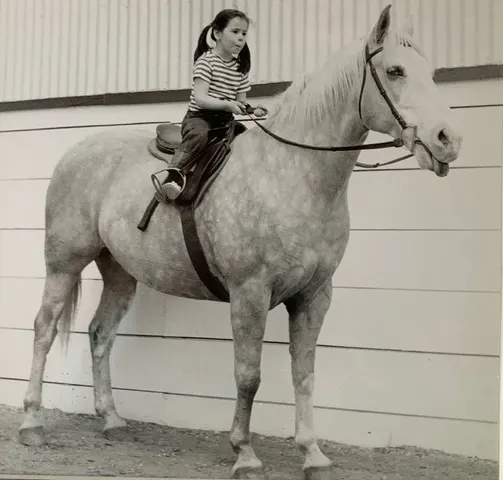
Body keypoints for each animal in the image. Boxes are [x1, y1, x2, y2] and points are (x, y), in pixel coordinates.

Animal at [17, 4, 462, 480]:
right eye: (395, 70)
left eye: (430, 72)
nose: (448, 140)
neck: (291, 173)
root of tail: (76, 152)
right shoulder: (250, 292)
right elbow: (249, 375)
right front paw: (245, 454)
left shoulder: (314, 296)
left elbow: (304, 373)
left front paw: (313, 453)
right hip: (64, 262)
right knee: (44, 329)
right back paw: (32, 422)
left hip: (120, 272)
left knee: (101, 333)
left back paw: (112, 419)